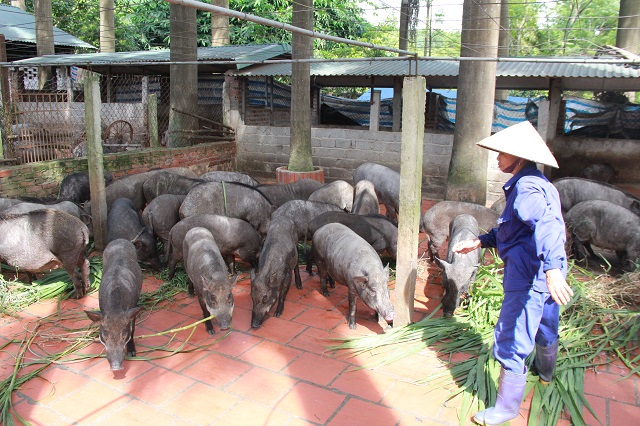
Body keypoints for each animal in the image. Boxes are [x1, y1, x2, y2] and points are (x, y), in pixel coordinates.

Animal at [84, 238, 142, 372]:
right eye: (105, 335)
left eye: (124, 335)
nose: (116, 367)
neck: (115, 309)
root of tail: (121, 239)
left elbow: (133, 329)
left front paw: (132, 353)